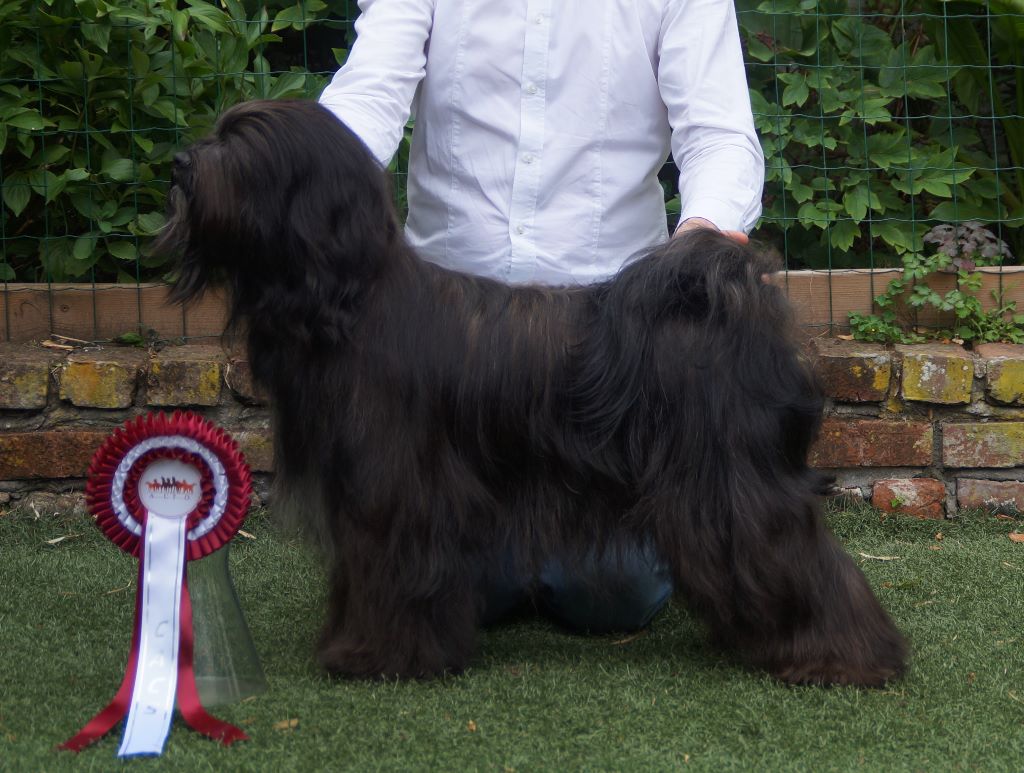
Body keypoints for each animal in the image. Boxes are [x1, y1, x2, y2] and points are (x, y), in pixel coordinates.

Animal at [156, 99, 907, 687]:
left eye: (243, 144)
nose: (180, 164)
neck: (350, 296)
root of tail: (731, 295)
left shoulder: (398, 491)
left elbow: (394, 572)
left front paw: (379, 656)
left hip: (728, 482)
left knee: (793, 554)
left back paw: (843, 658)